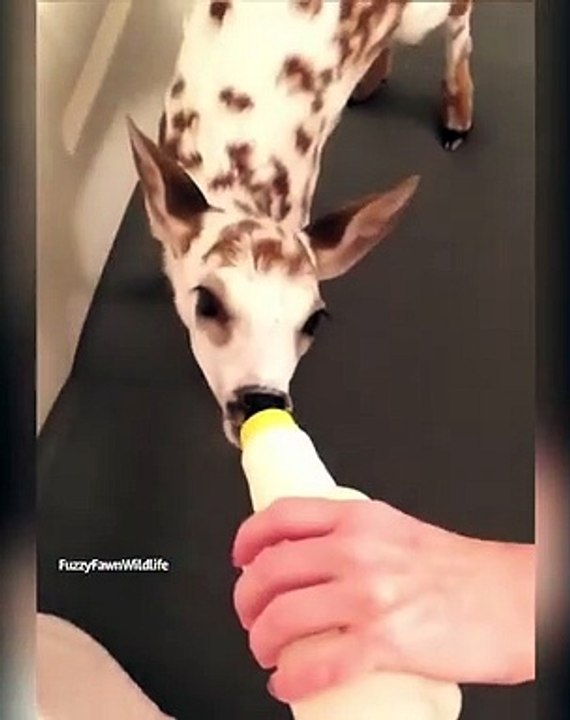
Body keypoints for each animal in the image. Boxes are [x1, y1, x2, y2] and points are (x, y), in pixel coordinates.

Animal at [127, 0, 474, 445]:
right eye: (207, 302)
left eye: (314, 320)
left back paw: (456, 120)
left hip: (425, 18)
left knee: (460, 21)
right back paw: (369, 81)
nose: (261, 399)